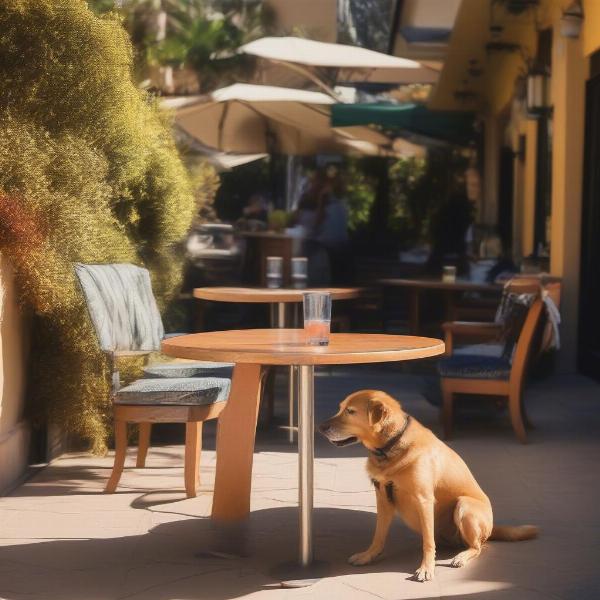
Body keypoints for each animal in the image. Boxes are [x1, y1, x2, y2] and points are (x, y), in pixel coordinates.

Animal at [322, 390, 536, 580]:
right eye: (340, 408)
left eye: (350, 411)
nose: (320, 426)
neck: (390, 447)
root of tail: (492, 528)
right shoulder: (383, 499)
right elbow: (378, 536)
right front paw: (368, 556)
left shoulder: (423, 500)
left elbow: (428, 543)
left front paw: (426, 568)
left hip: (464, 505)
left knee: (477, 547)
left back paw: (461, 557)